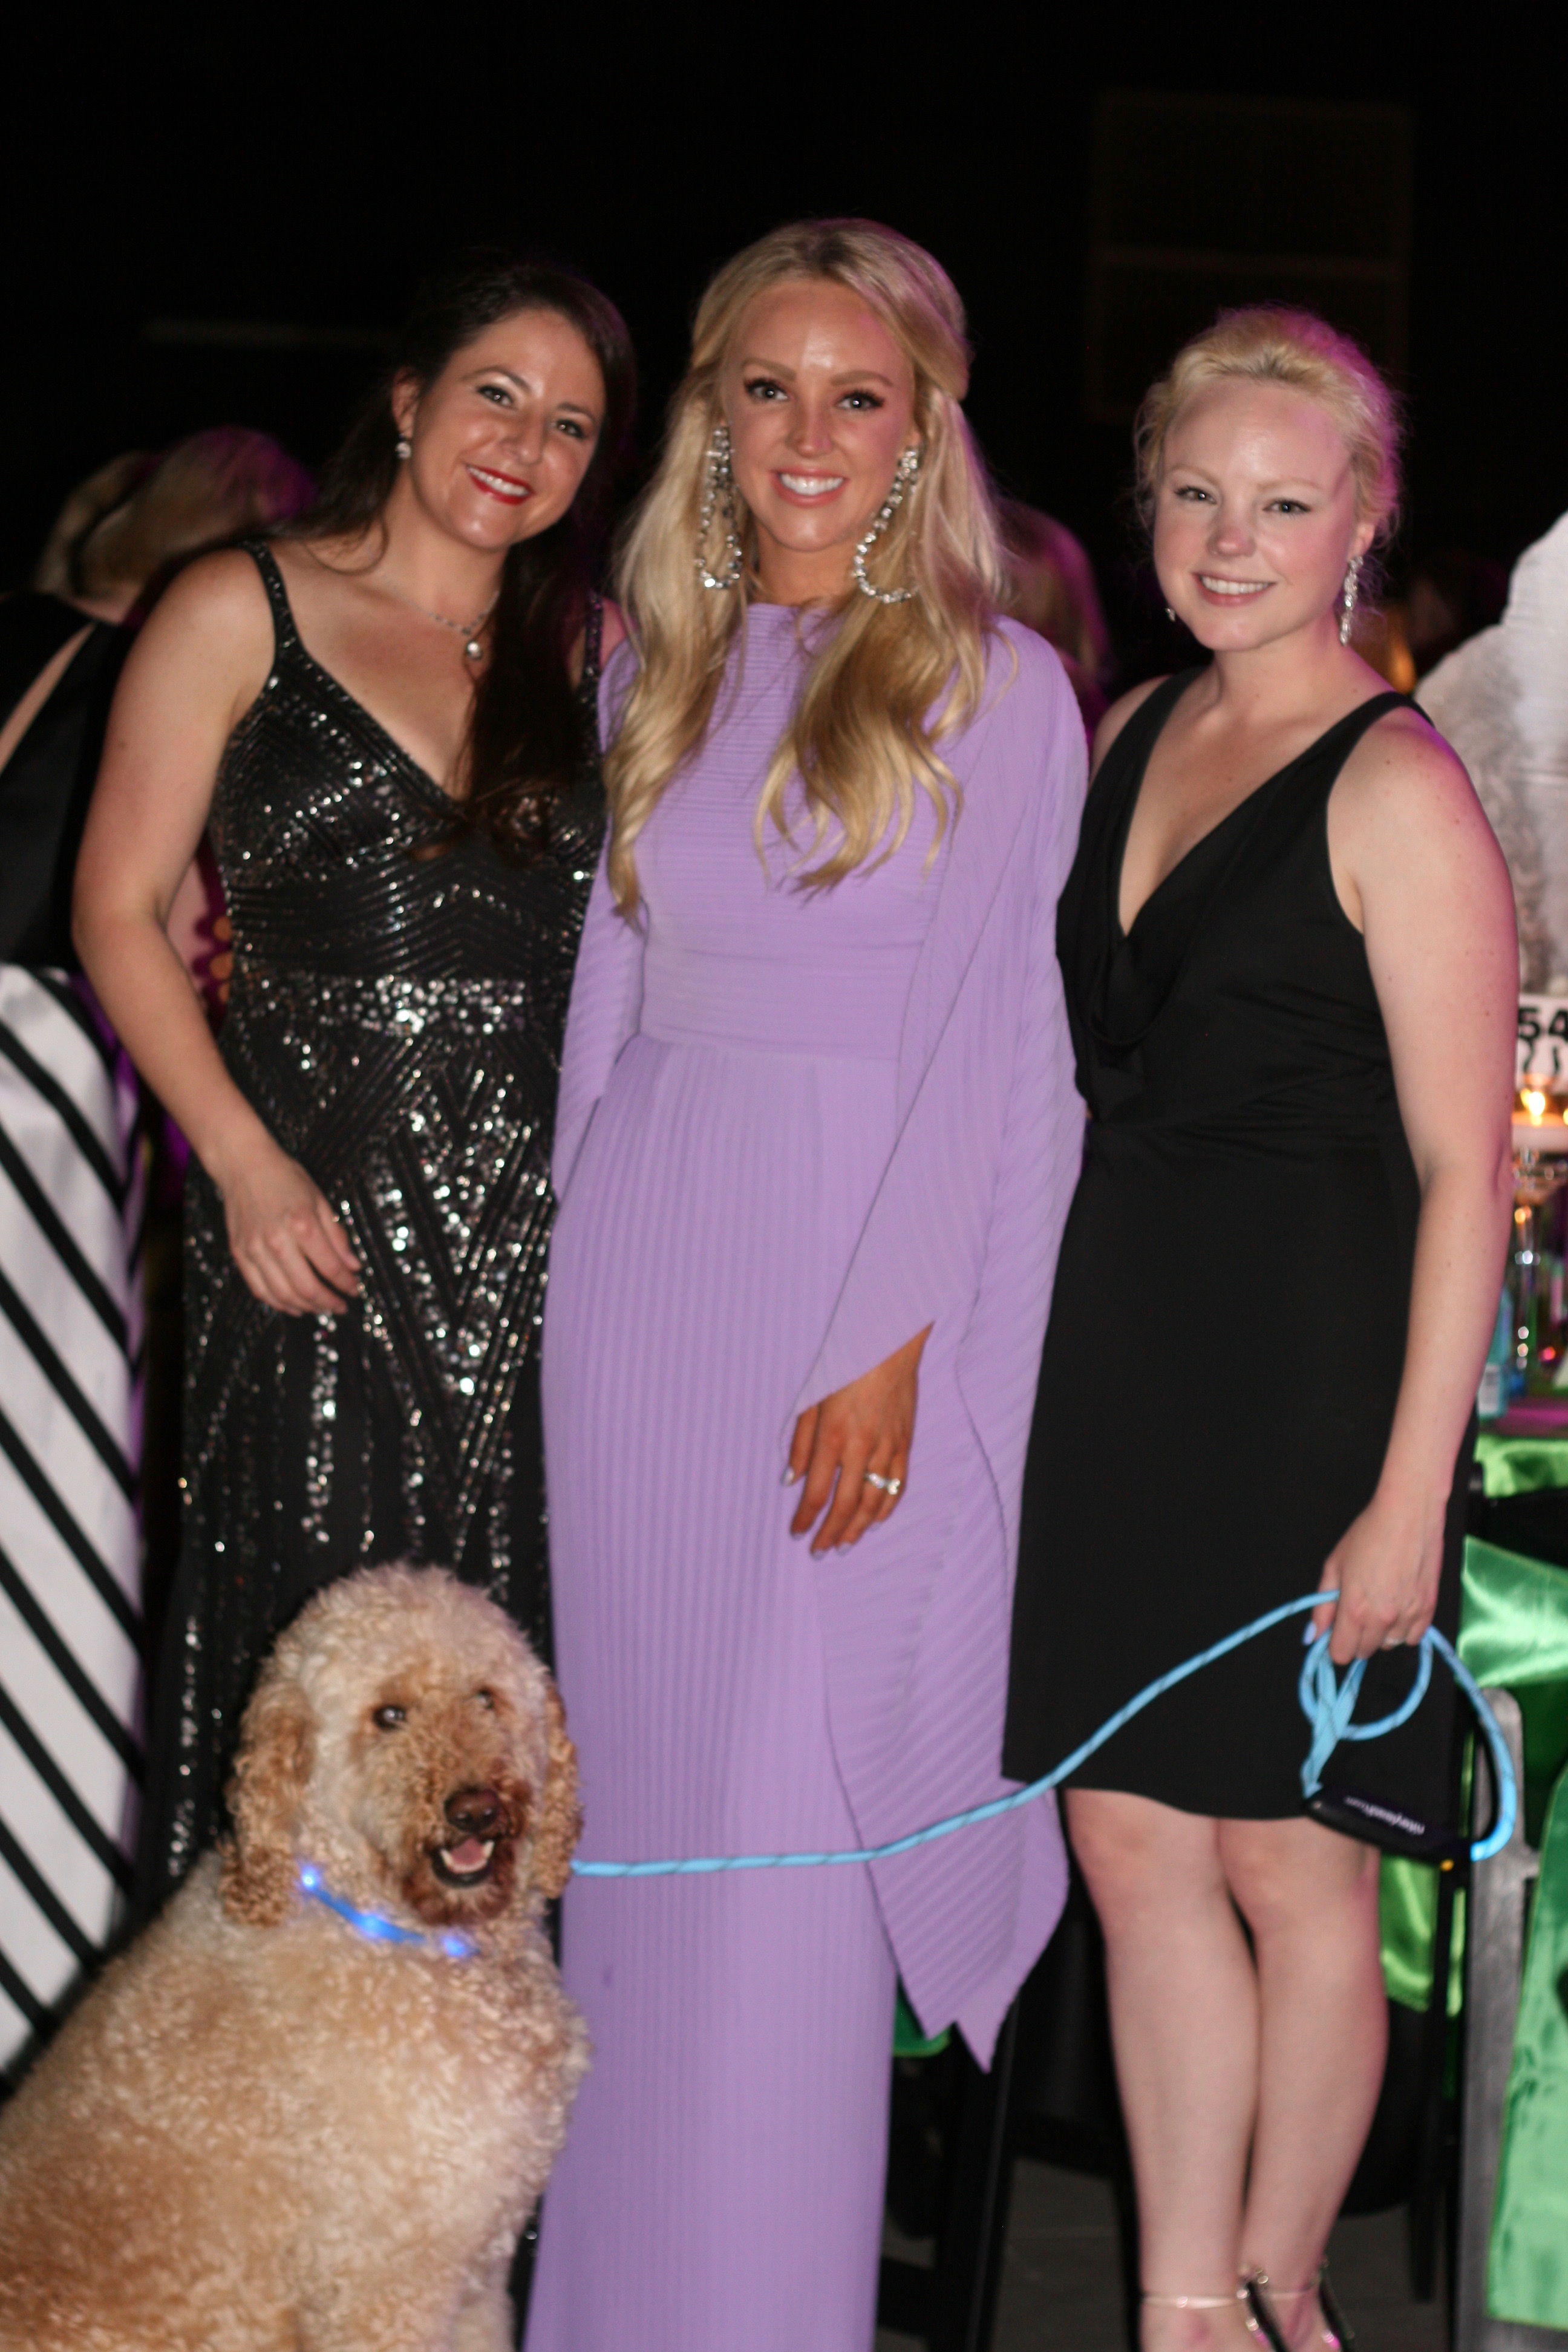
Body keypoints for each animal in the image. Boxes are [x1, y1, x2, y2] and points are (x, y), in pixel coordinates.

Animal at [0, 1564, 589, 2351]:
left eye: (485, 1697)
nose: (477, 1808)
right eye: (390, 1715)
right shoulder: (382, 2285)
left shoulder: (478, 2280)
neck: (402, 1933)